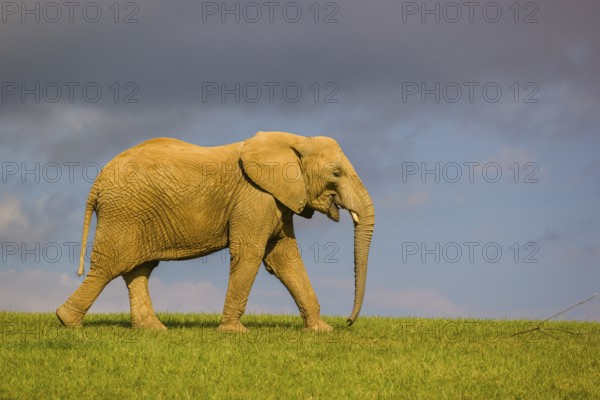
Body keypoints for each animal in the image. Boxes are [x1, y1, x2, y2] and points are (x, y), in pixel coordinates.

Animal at [57, 130, 376, 332]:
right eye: (336, 173)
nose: (348, 322)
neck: (294, 141)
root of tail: (97, 183)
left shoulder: (277, 200)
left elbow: (285, 258)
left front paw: (322, 330)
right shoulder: (255, 196)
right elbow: (251, 254)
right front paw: (234, 332)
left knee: (138, 270)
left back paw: (154, 329)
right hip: (125, 212)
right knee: (109, 267)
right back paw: (67, 321)